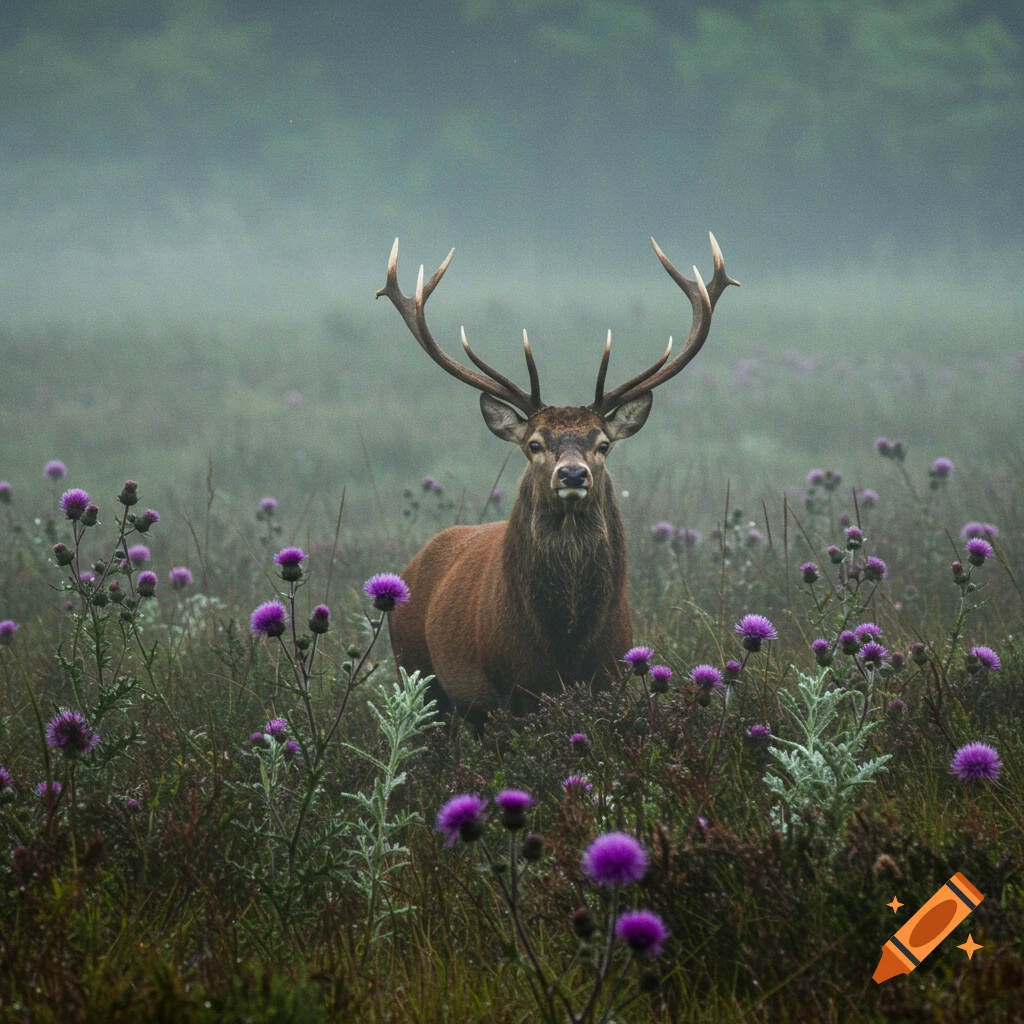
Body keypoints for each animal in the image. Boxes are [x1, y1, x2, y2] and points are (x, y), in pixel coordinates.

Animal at [376, 234, 737, 726]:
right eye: (534, 443)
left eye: (603, 444)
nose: (571, 473)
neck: (565, 644)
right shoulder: (508, 691)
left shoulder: (610, 678)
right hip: (417, 671)